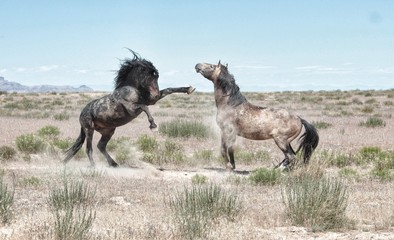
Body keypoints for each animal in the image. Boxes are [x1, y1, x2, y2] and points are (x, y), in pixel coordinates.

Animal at [65, 50, 195, 167]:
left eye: (157, 76)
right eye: (147, 76)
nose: (155, 95)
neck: (130, 90)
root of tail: (82, 113)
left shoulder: (150, 101)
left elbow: (169, 89)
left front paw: (189, 89)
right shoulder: (133, 109)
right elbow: (145, 107)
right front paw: (153, 125)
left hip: (108, 131)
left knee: (100, 146)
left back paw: (113, 164)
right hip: (89, 130)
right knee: (89, 149)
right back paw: (93, 166)